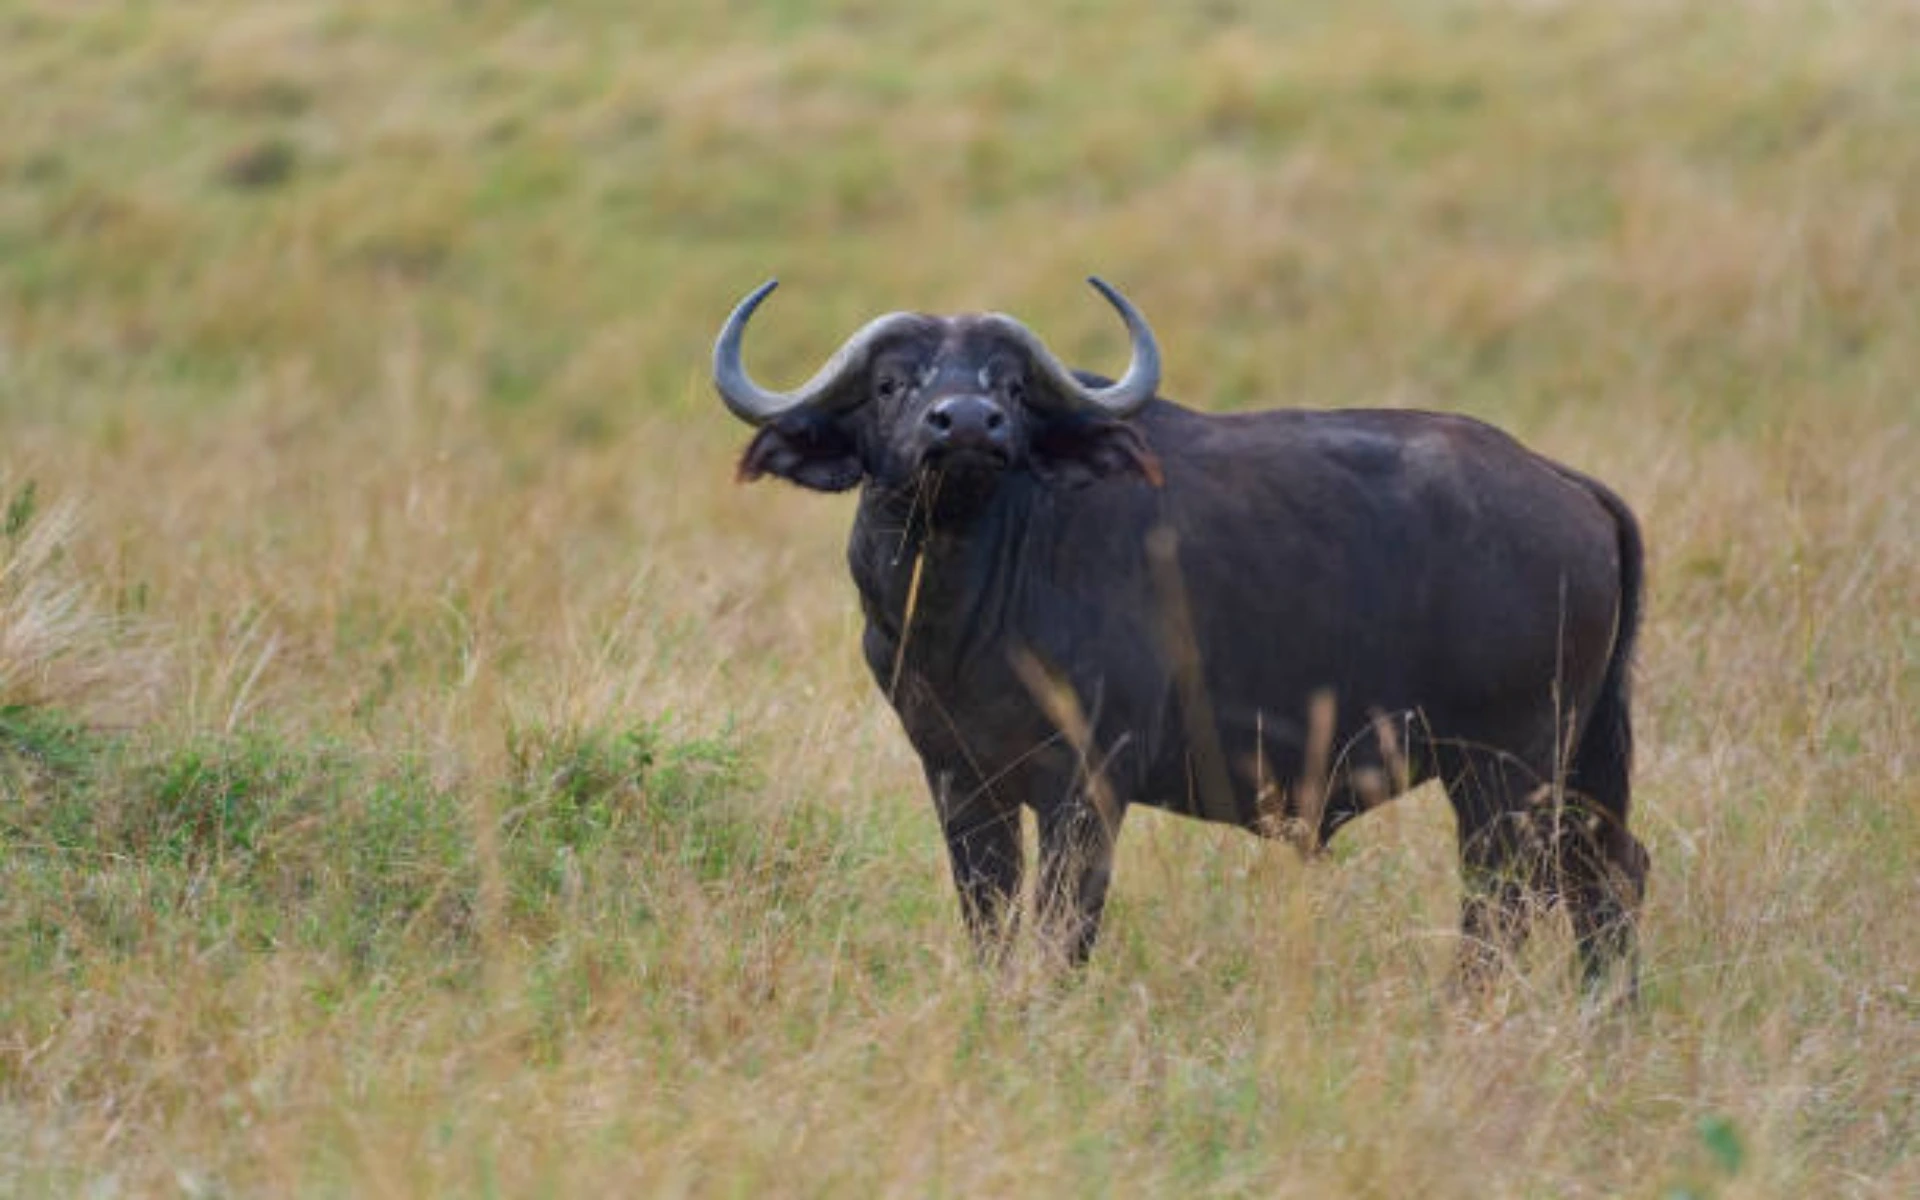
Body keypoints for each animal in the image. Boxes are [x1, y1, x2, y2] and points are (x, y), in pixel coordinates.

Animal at [713, 278, 1649, 996]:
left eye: (1011, 386)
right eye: (890, 384)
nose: (968, 424)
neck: (964, 612)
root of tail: (1566, 484)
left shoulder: (1089, 787)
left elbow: (1062, 927)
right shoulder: (959, 782)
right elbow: (990, 921)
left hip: (1503, 770)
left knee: (1508, 901)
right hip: (1575, 764)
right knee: (1608, 875)